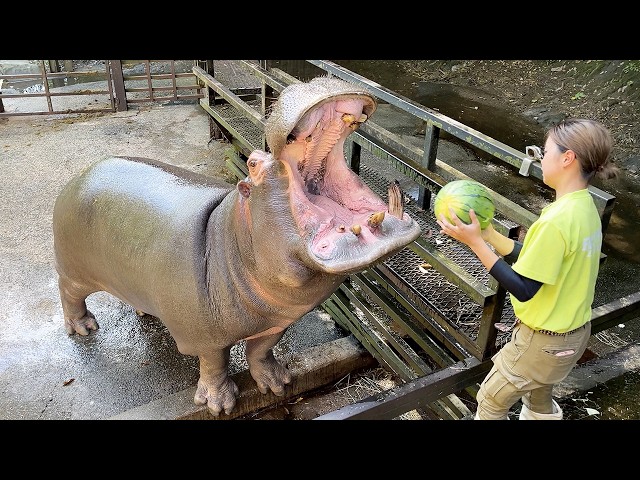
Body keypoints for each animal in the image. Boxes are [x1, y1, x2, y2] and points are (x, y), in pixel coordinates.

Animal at [52, 76, 422, 416]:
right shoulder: (205, 336)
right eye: (253, 163)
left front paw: (277, 383)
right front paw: (220, 404)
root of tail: (81, 174)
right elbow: (215, 363)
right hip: (73, 270)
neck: (234, 241)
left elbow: (261, 350)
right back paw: (83, 328)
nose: (310, 82)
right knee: (69, 293)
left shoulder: (279, 321)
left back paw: (144, 311)